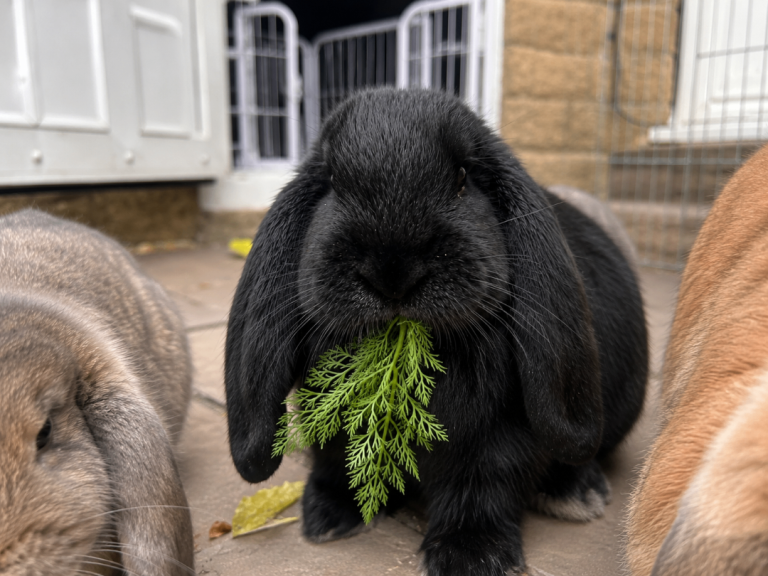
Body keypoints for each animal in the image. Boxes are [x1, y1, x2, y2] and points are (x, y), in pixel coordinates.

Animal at [224, 88, 648, 575]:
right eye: (330, 180)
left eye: (464, 176)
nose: (392, 270)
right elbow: (335, 461)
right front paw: (328, 517)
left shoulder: (498, 437)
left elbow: (484, 486)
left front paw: (471, 556)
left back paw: (577, 494)